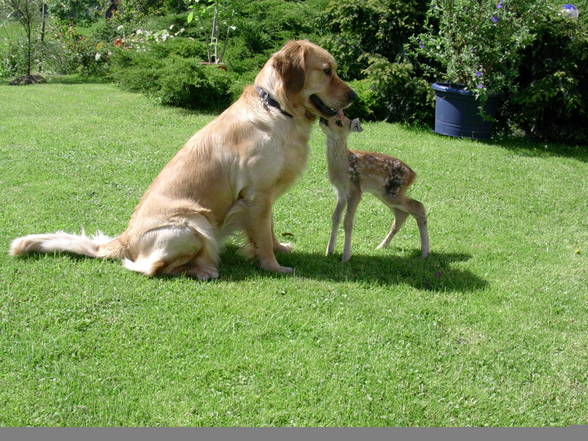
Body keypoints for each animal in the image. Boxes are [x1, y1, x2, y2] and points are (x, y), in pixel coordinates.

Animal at [10, 38, 358, 278]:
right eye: (327, 71)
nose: (355, 96)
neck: (277, 108)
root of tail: (125, 239)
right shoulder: (257, 194)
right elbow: (261, 234)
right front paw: (273, 266)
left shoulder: (265, 196)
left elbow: (268, 231)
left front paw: (279, 248)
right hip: (195, 224)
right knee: (148, 267)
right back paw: (204, 269)